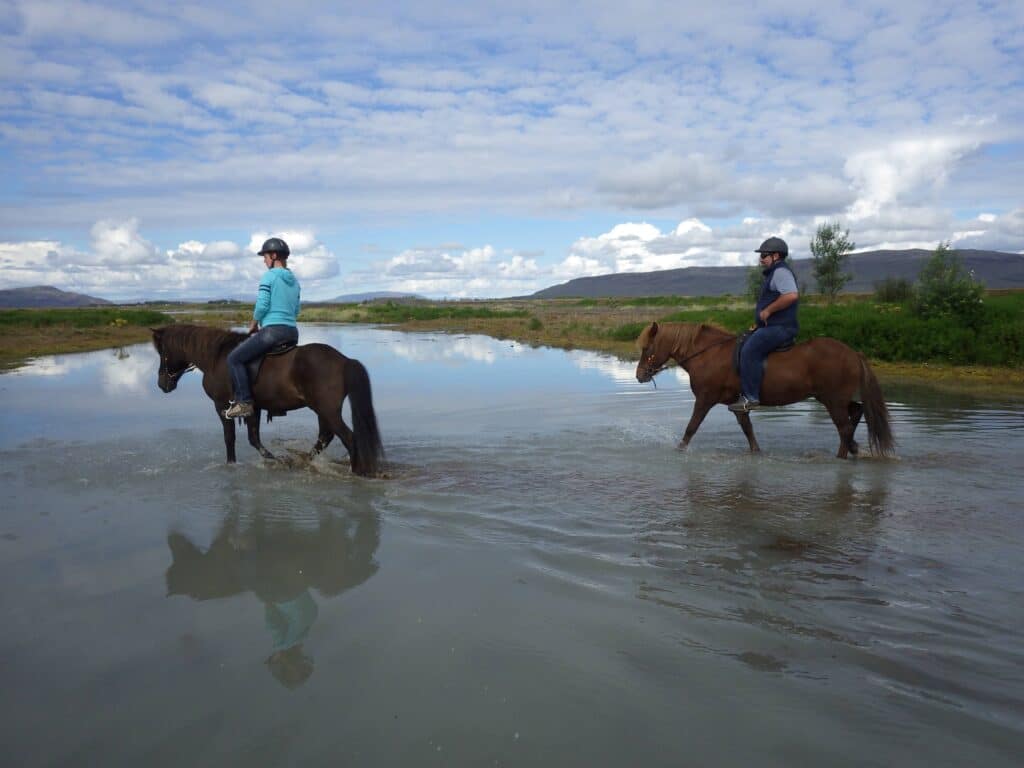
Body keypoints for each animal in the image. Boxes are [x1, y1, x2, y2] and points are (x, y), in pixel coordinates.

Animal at [147, 323, 380, 475]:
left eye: (162, 353)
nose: (162, 384)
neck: (216, 358)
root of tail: (345, 360)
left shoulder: (221, 406)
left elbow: (230, 438)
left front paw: (231, 464)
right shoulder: (254, 408)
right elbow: (254, 438)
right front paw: (280, 461)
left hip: (327, 409)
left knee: (348, 438)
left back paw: (356, 472)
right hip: (323, 410)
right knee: (325, 436)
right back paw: (304, 460)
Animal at [634, 321, 892, 460]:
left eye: (647, 347)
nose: (639, 375)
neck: (709, 354)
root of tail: (853, 353)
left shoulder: (705, 399)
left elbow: (691, 427)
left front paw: (678, 451)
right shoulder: (738, 404)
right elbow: (748, 430)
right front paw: (756, 454)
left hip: (833, 400)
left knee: (845, 427)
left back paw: (842, 455)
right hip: (833, 398)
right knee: (855, 413)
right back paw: (851, 450)